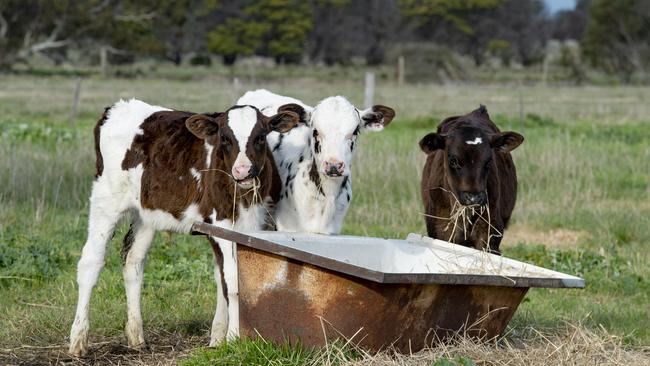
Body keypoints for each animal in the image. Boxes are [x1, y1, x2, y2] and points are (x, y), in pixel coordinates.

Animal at [67, 98, 296, 356]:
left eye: (260, 137)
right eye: (225, 138)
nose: (242, 171)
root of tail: (116, 107)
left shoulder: (260, 224)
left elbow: (223, 278)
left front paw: (219, 338)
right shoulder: (222, 224)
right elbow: (233, 283)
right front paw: (234, 338)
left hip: (147, 215)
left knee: (133, 260)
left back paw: (137, 337)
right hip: (106, 200)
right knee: (90, 262)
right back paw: (78, 340)